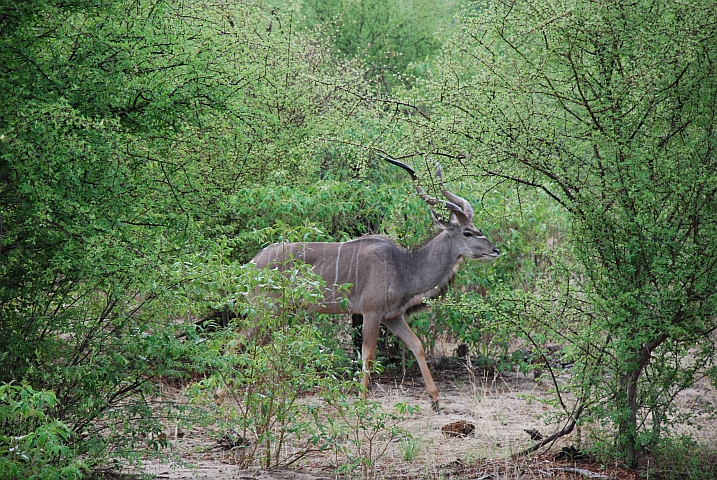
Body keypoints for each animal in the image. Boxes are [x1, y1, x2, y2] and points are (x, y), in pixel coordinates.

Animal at [252, 157, 498, 408]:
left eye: (477, 229)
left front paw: (435, 398)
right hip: (263, 311)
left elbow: (416, 345)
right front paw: (361, 400)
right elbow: (368, 354)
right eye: (467, 232)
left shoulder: (392, 317)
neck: (403, 267)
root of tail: (253, 262)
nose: (495, 250)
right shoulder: (371, 313)